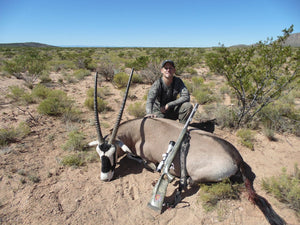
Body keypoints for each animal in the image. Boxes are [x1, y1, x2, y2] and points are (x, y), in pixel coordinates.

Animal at [91, 71, 286, 225]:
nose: (104, 177)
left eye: (112, 152)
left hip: (199, 174)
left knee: (190, 181)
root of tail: (237, 158)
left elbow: (142, 161)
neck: (139, 130)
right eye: (99, 153)